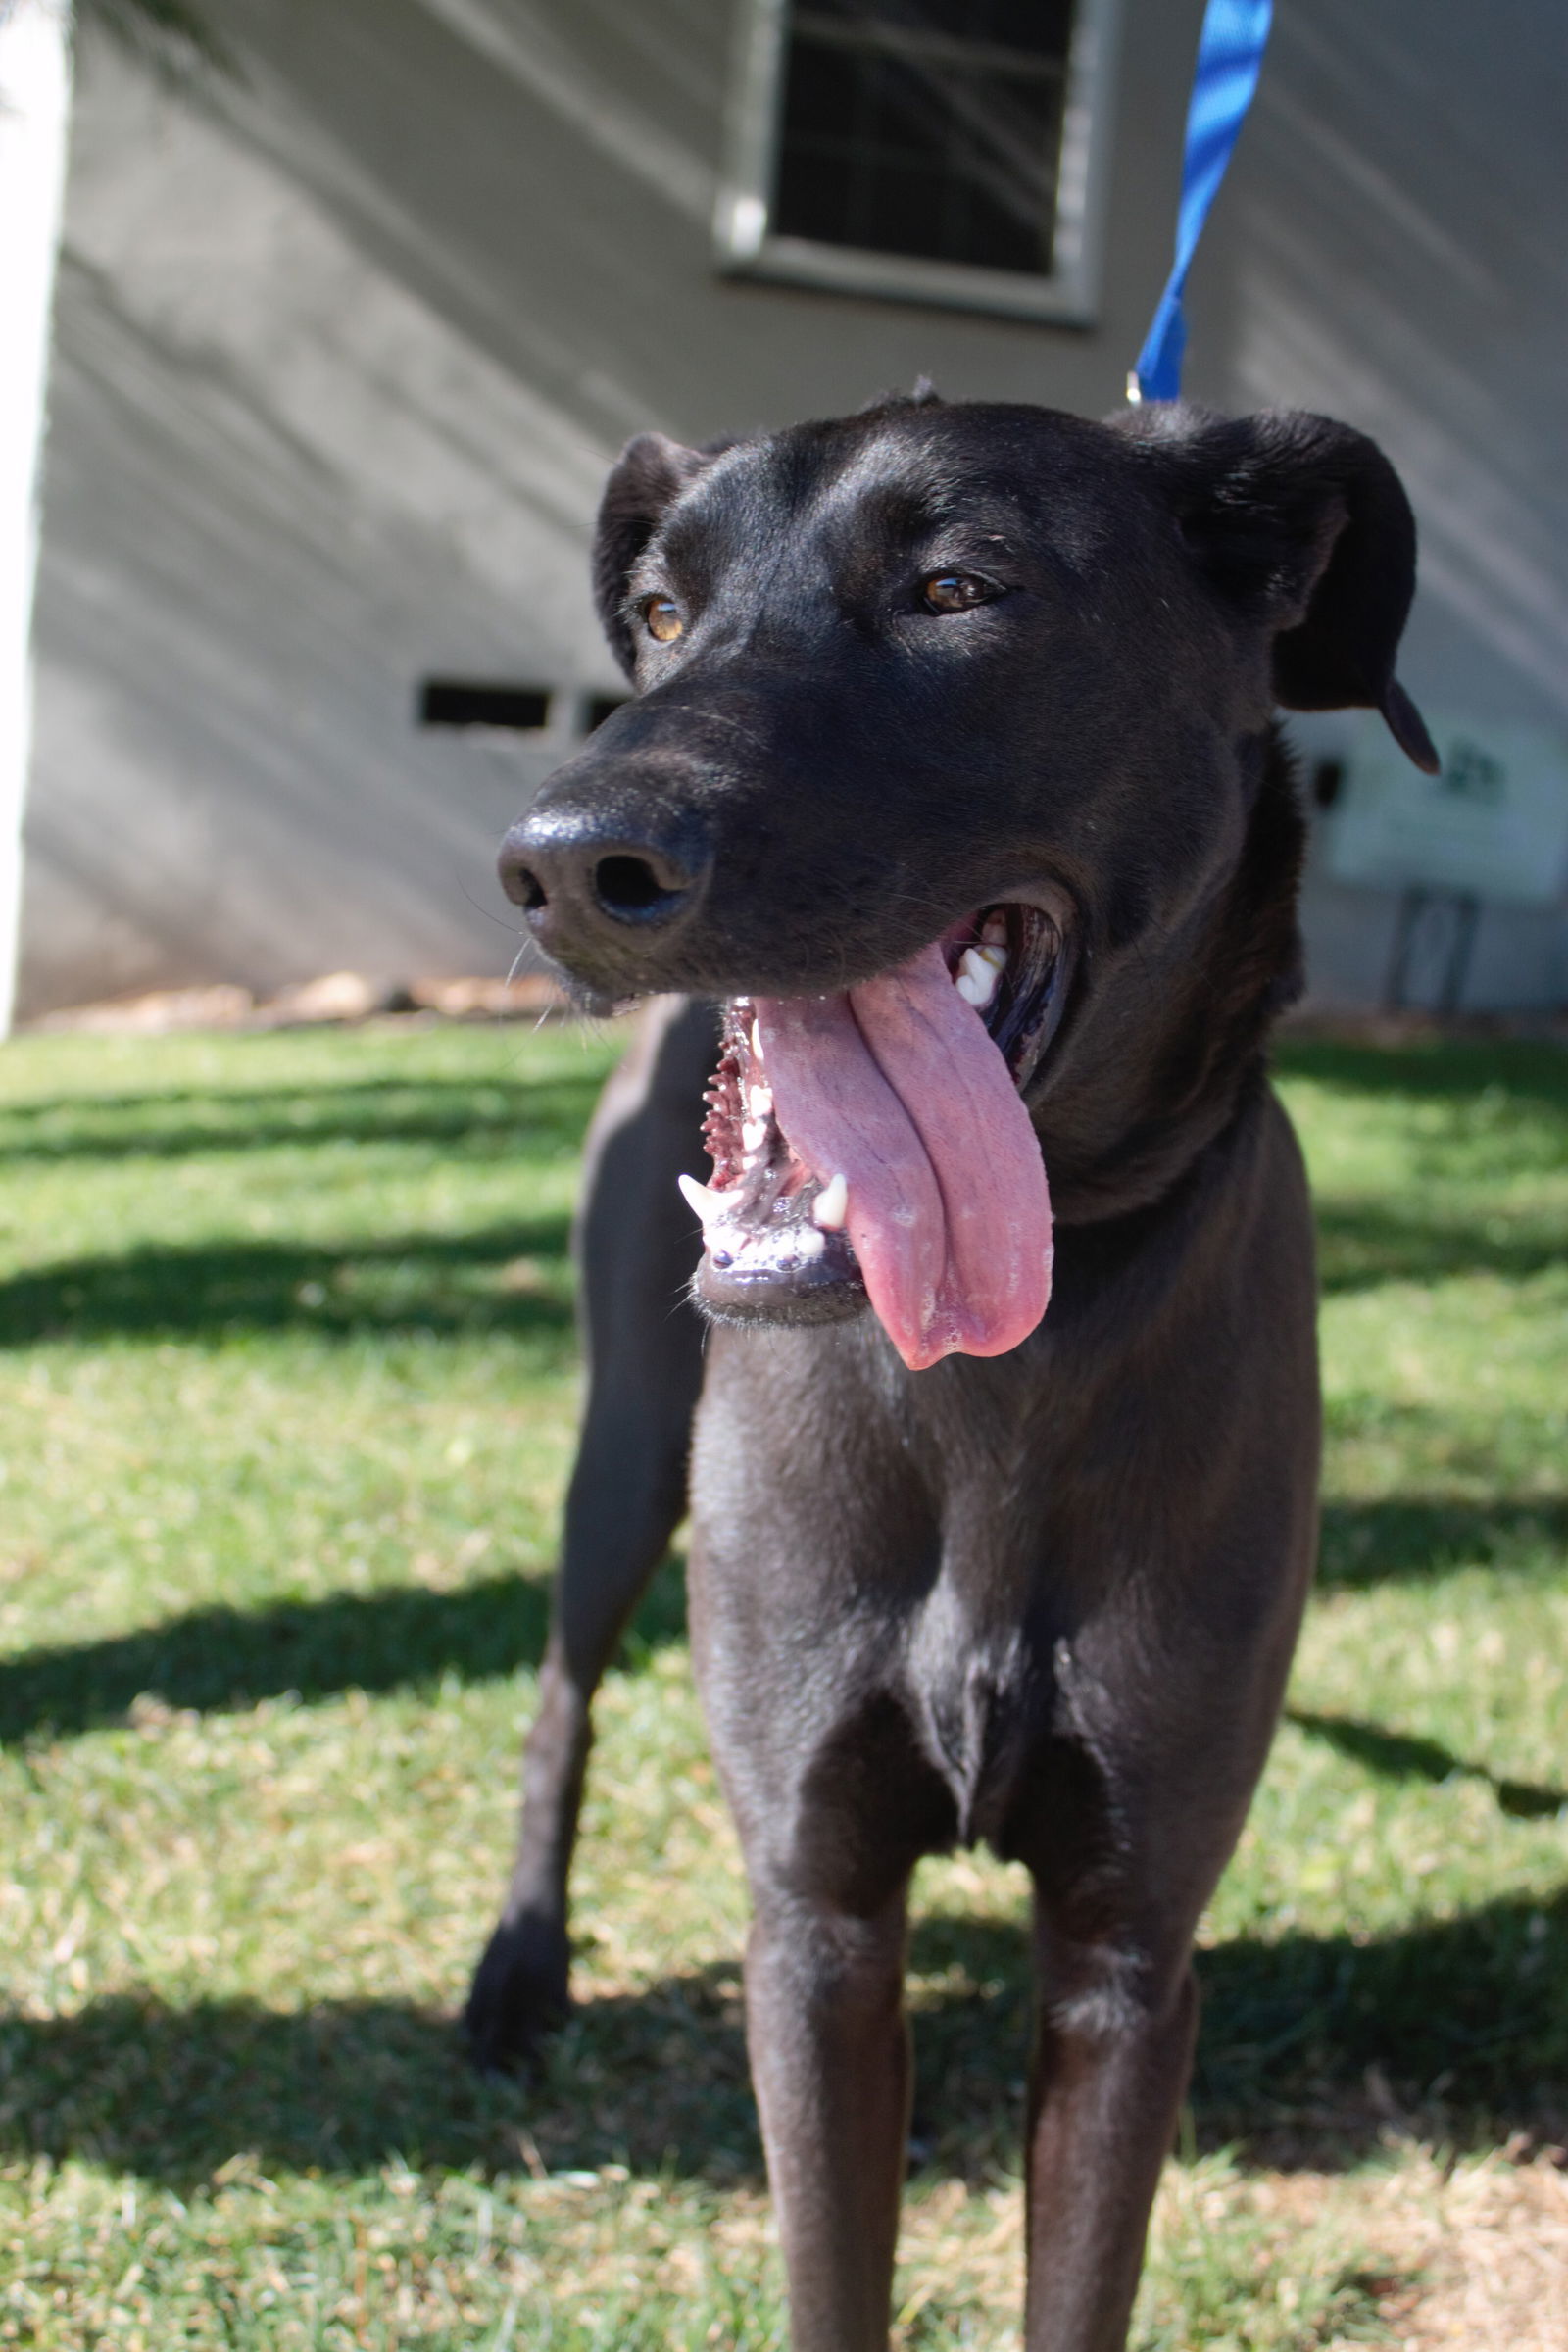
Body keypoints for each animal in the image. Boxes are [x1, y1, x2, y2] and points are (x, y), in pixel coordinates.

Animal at [463, 395, 1439, 2342]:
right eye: (664, 612)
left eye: (958, 589)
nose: (564, 869)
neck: (1000, 1366)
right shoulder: (817, 1928)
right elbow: (834, 2273)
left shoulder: (1130, 1958)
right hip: (626, 1451)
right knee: (560, 1697)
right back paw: (519, 1967)